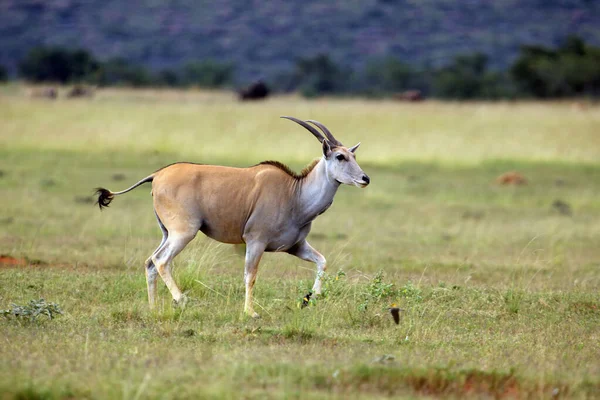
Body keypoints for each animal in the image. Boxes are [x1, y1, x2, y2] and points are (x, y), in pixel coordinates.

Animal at [95, 116, 370, 318]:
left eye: (353, 156)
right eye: (340, 156)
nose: (365, 178)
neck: (296, 194)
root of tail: (157, 175)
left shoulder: (296, 246)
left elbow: (322, 261)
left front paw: (309, 299)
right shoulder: (255, 242)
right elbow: (250, 276)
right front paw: (251, 312)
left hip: (167, 233)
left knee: (150, 262)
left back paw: (153, 309)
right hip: (184, 233)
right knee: (161, 260)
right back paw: (181, 299)